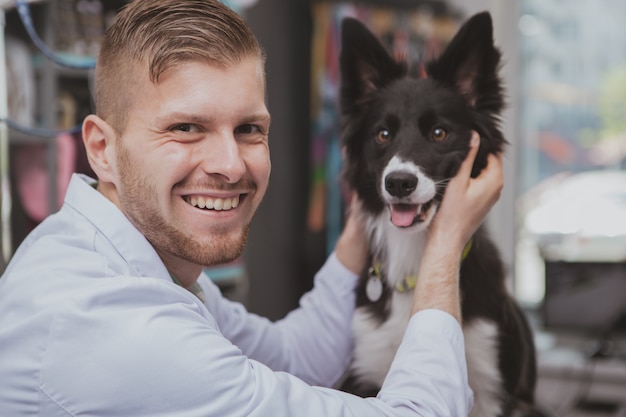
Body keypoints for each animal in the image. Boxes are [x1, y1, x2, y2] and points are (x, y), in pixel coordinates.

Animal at [338, 11, 540, 414]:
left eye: (439, 133)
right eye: (383, 134)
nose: (399, 183)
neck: (416, 258)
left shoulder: (496, 388)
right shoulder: (369, 371)